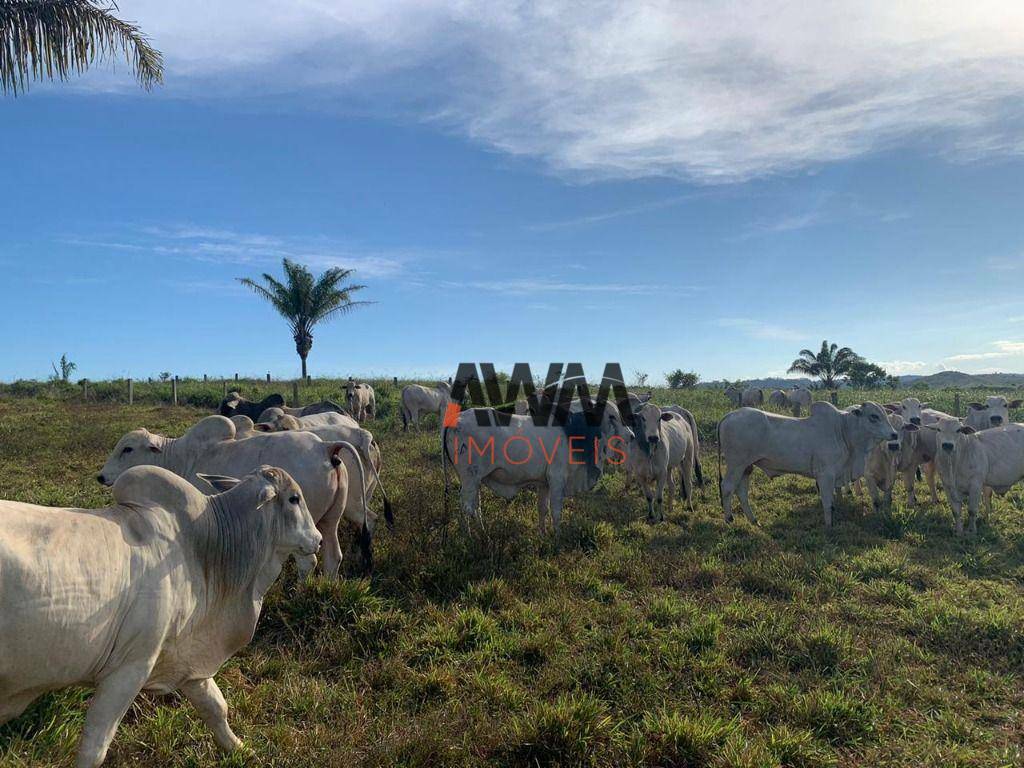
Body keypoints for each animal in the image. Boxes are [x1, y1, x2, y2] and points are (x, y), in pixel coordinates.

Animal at [0, 466, 319, 765]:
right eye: (294, 498)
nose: (316, 539)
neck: (205, 550)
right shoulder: (131, 667)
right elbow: (94, 748)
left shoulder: (187, 657)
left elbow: (216, 707)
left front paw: (242, 750)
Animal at [96, 415, 368, 577]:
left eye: (127, 449)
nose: (101, 476)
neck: (181, 458)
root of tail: (326, 447)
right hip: (329, 521)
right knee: (333, 557)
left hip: (303, 529)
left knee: (308, 563)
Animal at [720, 403, 897, 528]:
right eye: (874, 416)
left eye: (885, 414)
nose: (894, 434)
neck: (843, 430)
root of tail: (729, 415)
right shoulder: (825, 475)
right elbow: (827, 502)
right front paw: (829, 526)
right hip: (736, 465)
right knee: (727, 487)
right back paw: (729, 519)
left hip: (746, 467)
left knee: (742, 492)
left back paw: (754, 520)